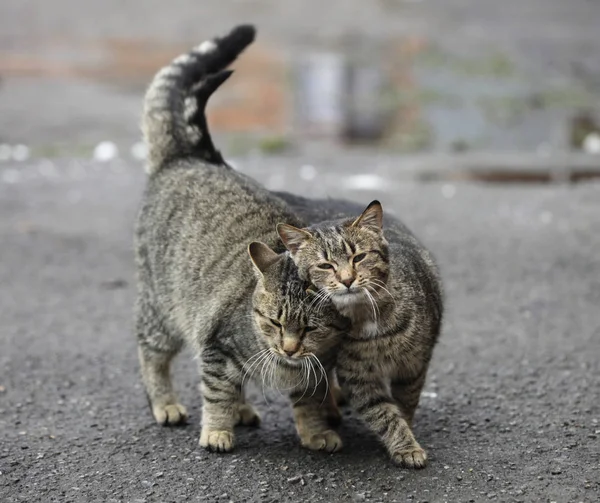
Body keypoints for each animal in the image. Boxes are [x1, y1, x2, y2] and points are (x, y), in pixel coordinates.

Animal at [134, 25, 350, 454]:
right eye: (273, 321)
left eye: (310, 329)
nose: (289, 347)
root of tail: (191, 157)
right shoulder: (216, 347)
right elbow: (217, 393)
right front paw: (217, 430)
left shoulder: (318, 368)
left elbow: (310, 401)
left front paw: (315, 432)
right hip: (162, 308)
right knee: (151, 353)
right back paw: (165, 403)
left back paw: (244, 409)